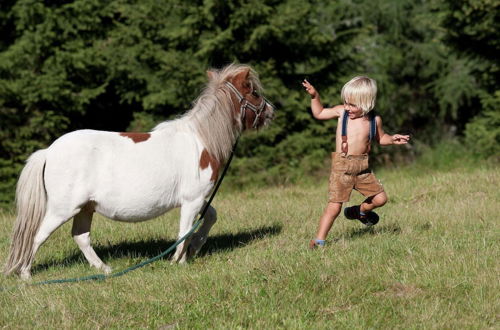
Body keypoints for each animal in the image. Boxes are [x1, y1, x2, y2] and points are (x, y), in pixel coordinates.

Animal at [3, 62, 274, 278]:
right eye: (254, 92)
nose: (272, 111)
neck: (201, 141)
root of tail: (48, 152)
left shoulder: (198, 200)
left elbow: (210, 217)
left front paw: (195, 248)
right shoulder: (192, 200)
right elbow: (185, 230)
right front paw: (179, 261)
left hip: (85, 208)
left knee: (81, 236)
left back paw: (104, 269)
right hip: (63, 208)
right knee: (37, 235)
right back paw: (26, 274)